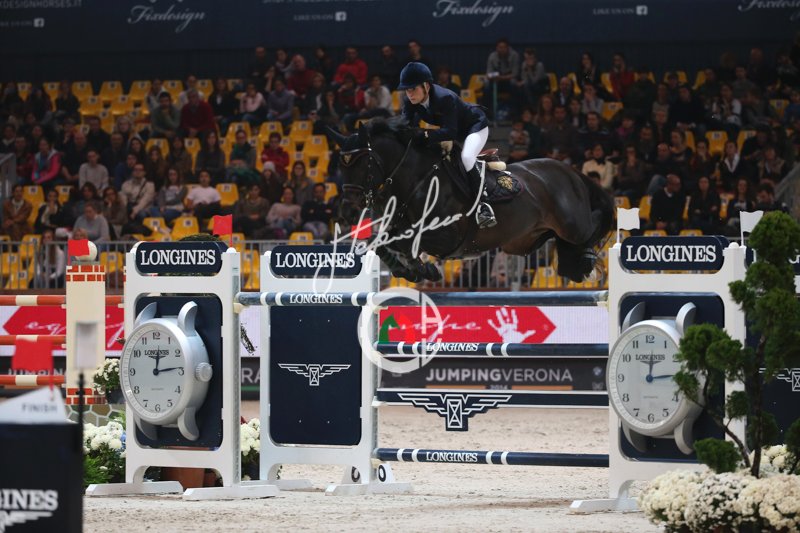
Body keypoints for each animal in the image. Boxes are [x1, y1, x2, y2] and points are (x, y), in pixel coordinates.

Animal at [329, 118, 614, 283]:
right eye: (340, 165)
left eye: (362, 163)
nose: (347, 212)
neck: (417, 179)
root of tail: (571, 171)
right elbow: (382, 243)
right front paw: (411, 271)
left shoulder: (447, 236)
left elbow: (407, 242)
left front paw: (422, 269)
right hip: (521, 242)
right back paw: (575, 265)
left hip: (572, 224)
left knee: (594, 223)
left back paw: (588, 259)